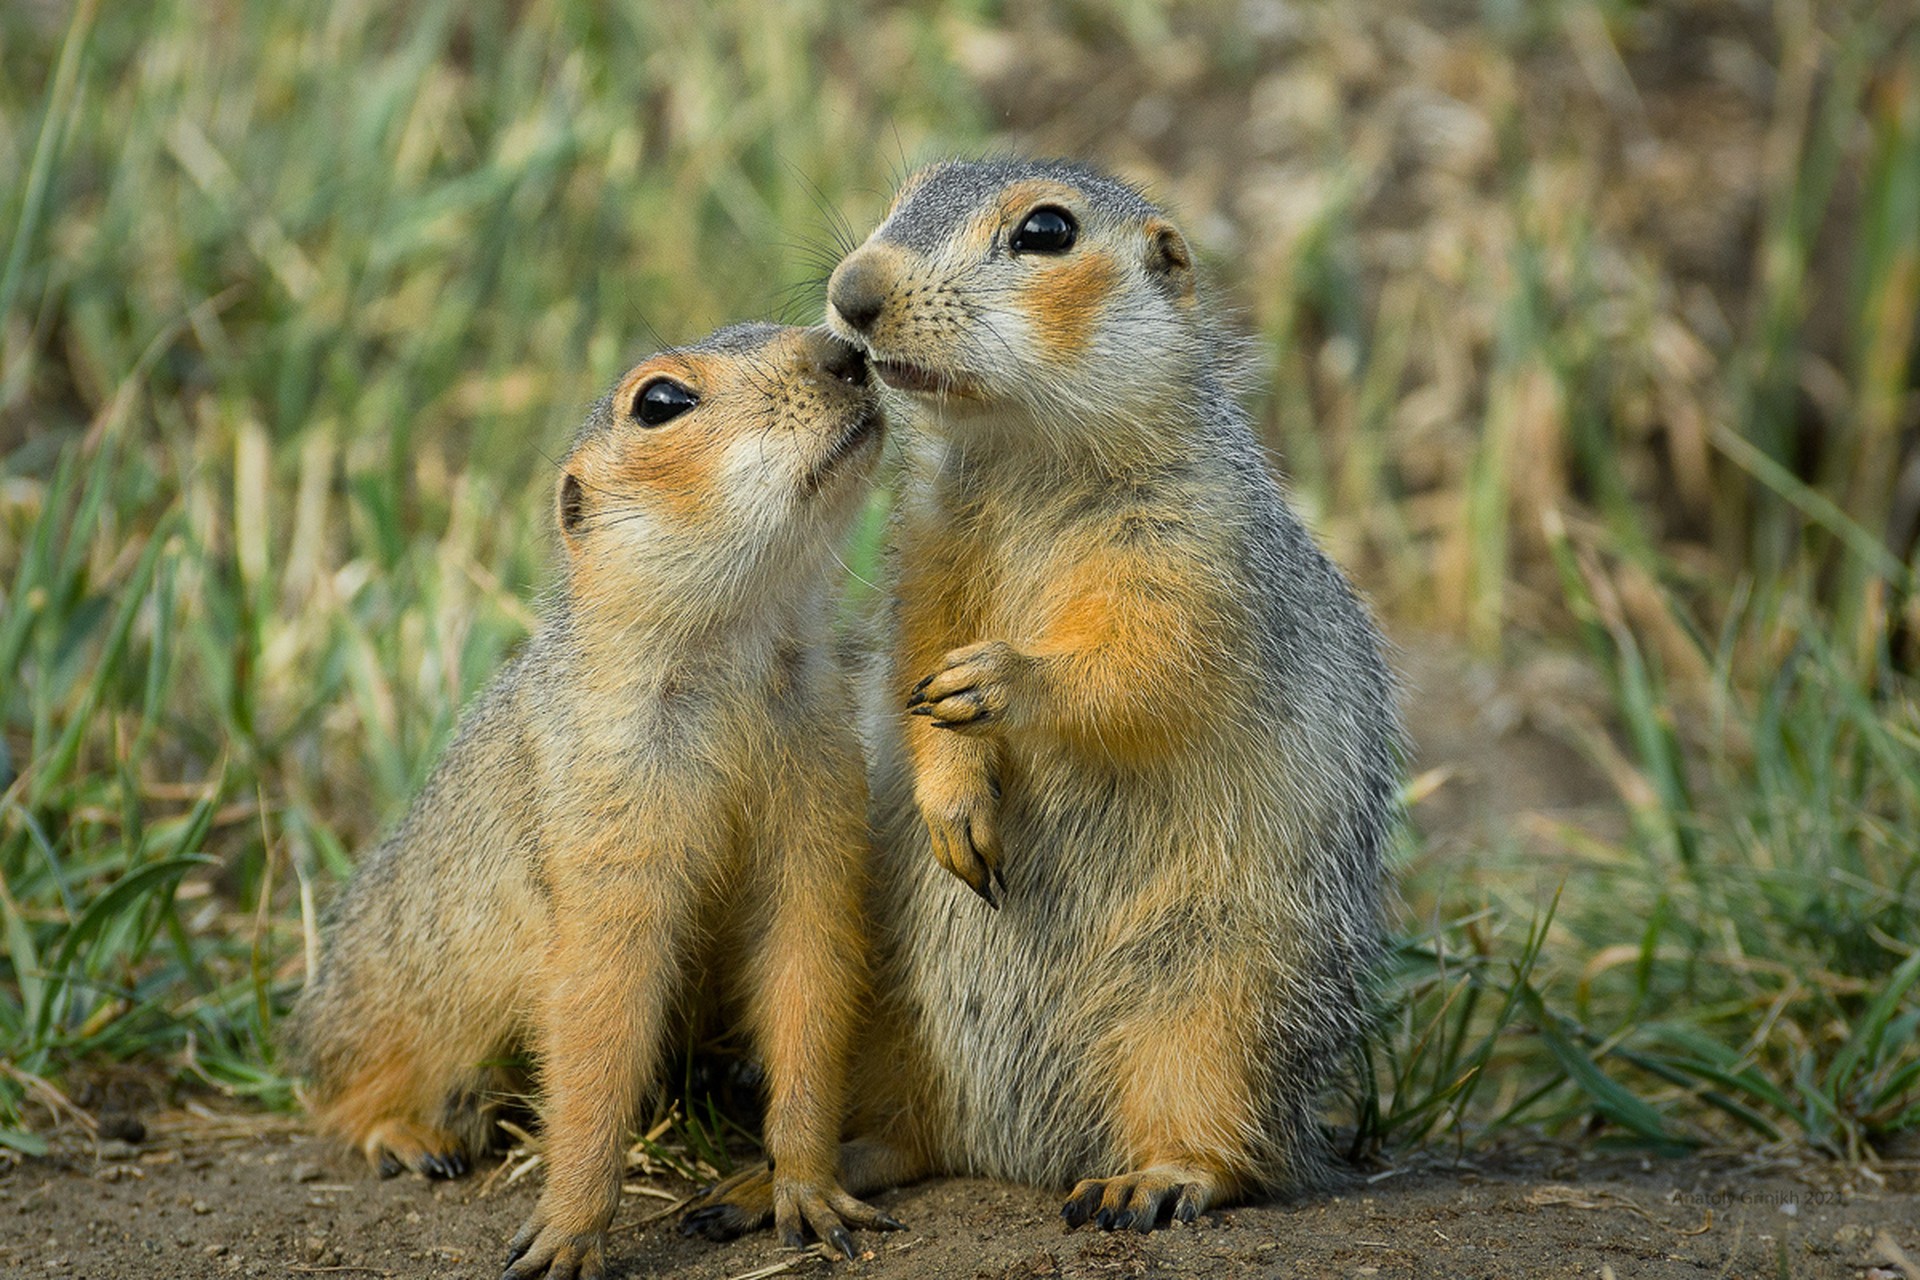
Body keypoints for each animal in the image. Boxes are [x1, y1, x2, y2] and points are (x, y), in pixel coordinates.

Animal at [289, 322, 898, 1280]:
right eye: (660, 402)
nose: (845, 352)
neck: (734, 651)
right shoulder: (608, 828)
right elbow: (597, 1021)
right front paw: (568, 1232)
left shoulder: (821, 793)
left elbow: (809, 972)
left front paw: (806, 1186)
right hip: (387, 1002)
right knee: (334, 1092)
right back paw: (405, 1134)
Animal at [687, 157, 1397, 1243]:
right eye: (905, 190)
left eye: (1047, 231)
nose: (851, 291)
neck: (1025, 451)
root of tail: (1009, 1149)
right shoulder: (928, 550)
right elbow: (913, 663)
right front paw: (952, 789)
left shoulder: (1197, 550)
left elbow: (1149, 663)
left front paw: (1006, 678)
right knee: (903, 1127)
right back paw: (788, 1176)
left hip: (1224, 993)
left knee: (1230, 1133)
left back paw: (1154, 1178)